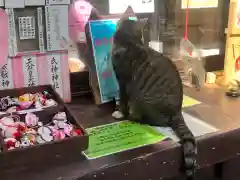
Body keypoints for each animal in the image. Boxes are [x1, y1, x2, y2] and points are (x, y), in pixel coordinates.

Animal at [110, 17, 197, 179]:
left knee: (157, 121)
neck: (129, 41)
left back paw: (134, 118)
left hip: (142, 100)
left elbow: (123, 100)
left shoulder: (123, 82)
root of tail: (177, 111)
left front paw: (120, 112)